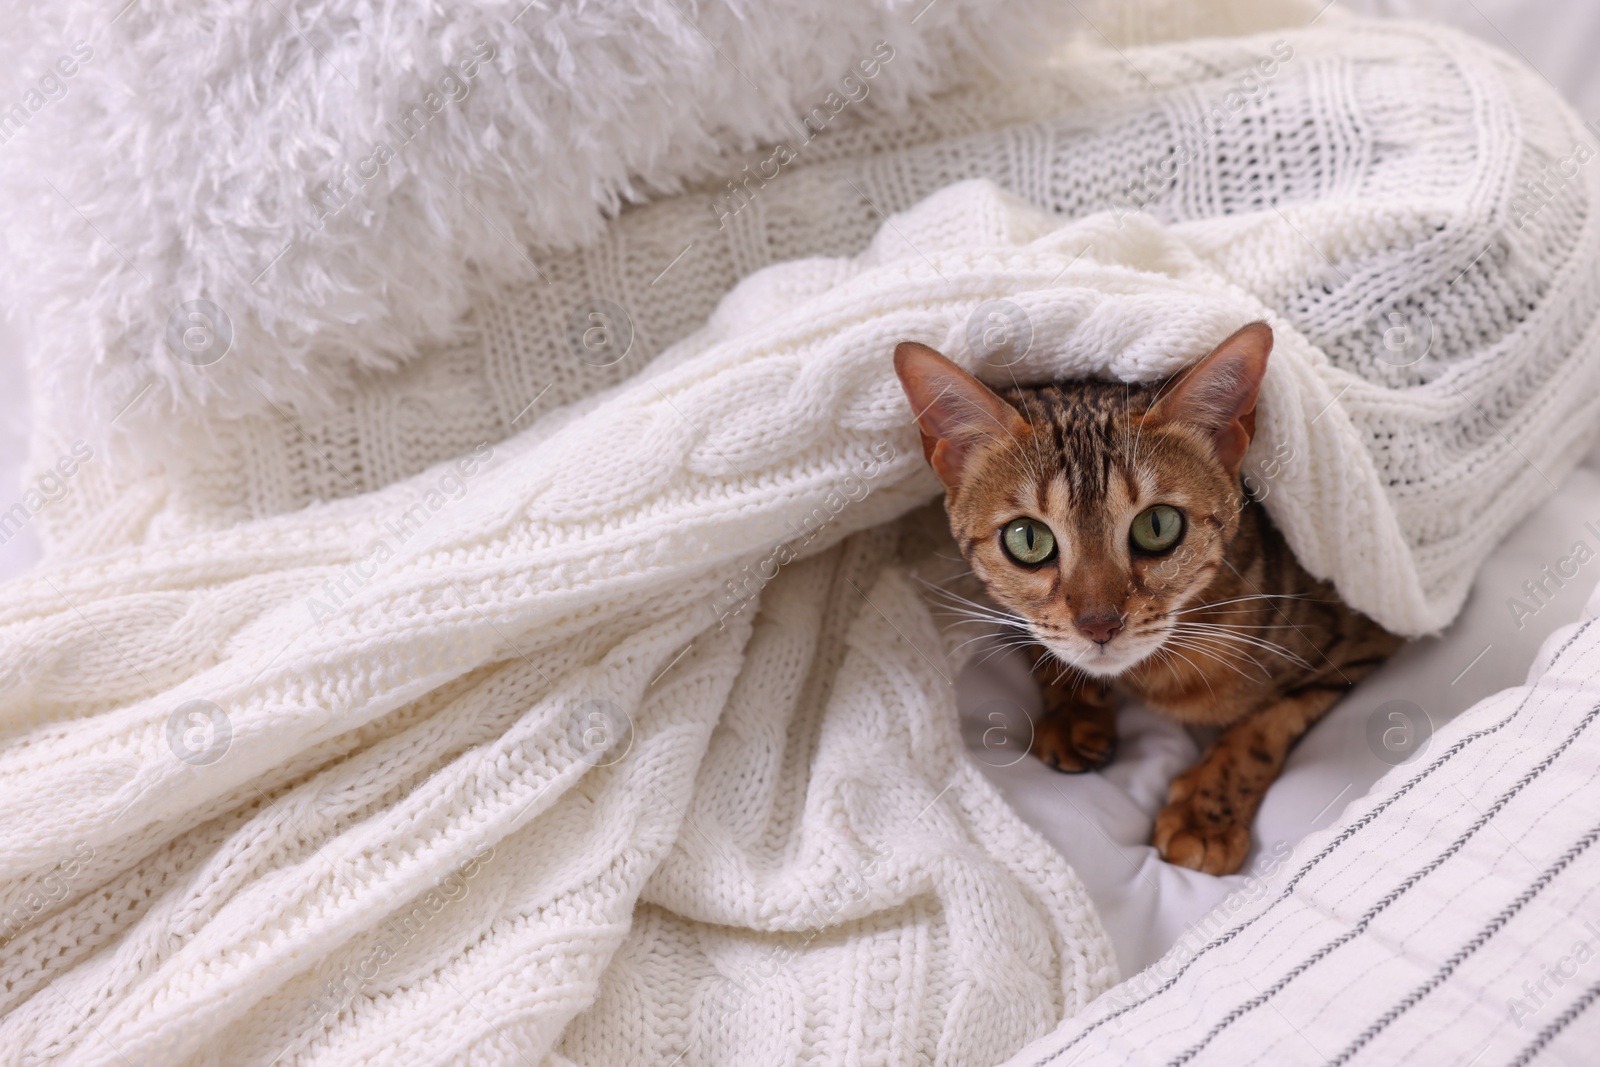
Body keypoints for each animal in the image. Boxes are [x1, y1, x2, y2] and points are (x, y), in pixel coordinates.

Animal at [896, 326, 1408, 876]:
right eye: (1028, 539)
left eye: (1158, 526)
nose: (1099, 626)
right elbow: (1044, 641)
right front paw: (1074, 712)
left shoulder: (1362, 638)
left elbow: (1265, 724)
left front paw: (1204, 815)